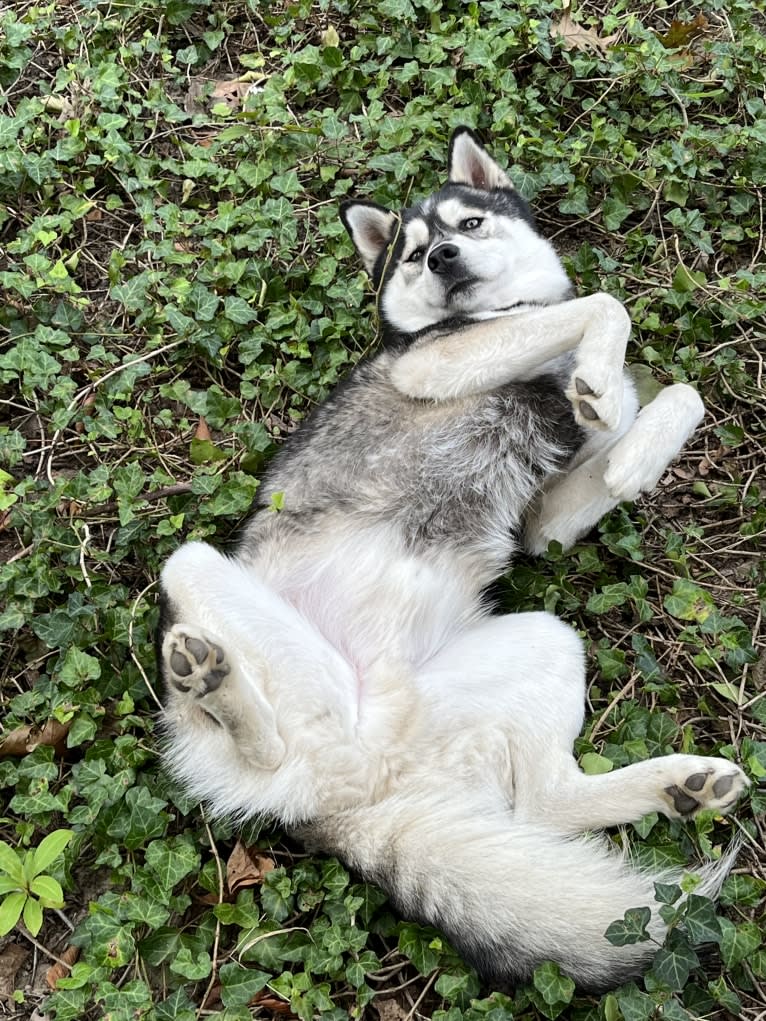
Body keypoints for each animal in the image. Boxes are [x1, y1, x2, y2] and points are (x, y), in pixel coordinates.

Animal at [157, 125, 751, 988]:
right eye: (410, 253)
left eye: (466, 223)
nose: (440, 257)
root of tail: (359, 795)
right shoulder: (431, 361)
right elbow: (601, 305)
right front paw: (604, 373)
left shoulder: (547, 521)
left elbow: (677, 395)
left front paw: (631, 445)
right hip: (199, 571)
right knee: (260, 743)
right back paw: (210, 679)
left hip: (545, 642)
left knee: (546, 803)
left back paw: (681, 786)